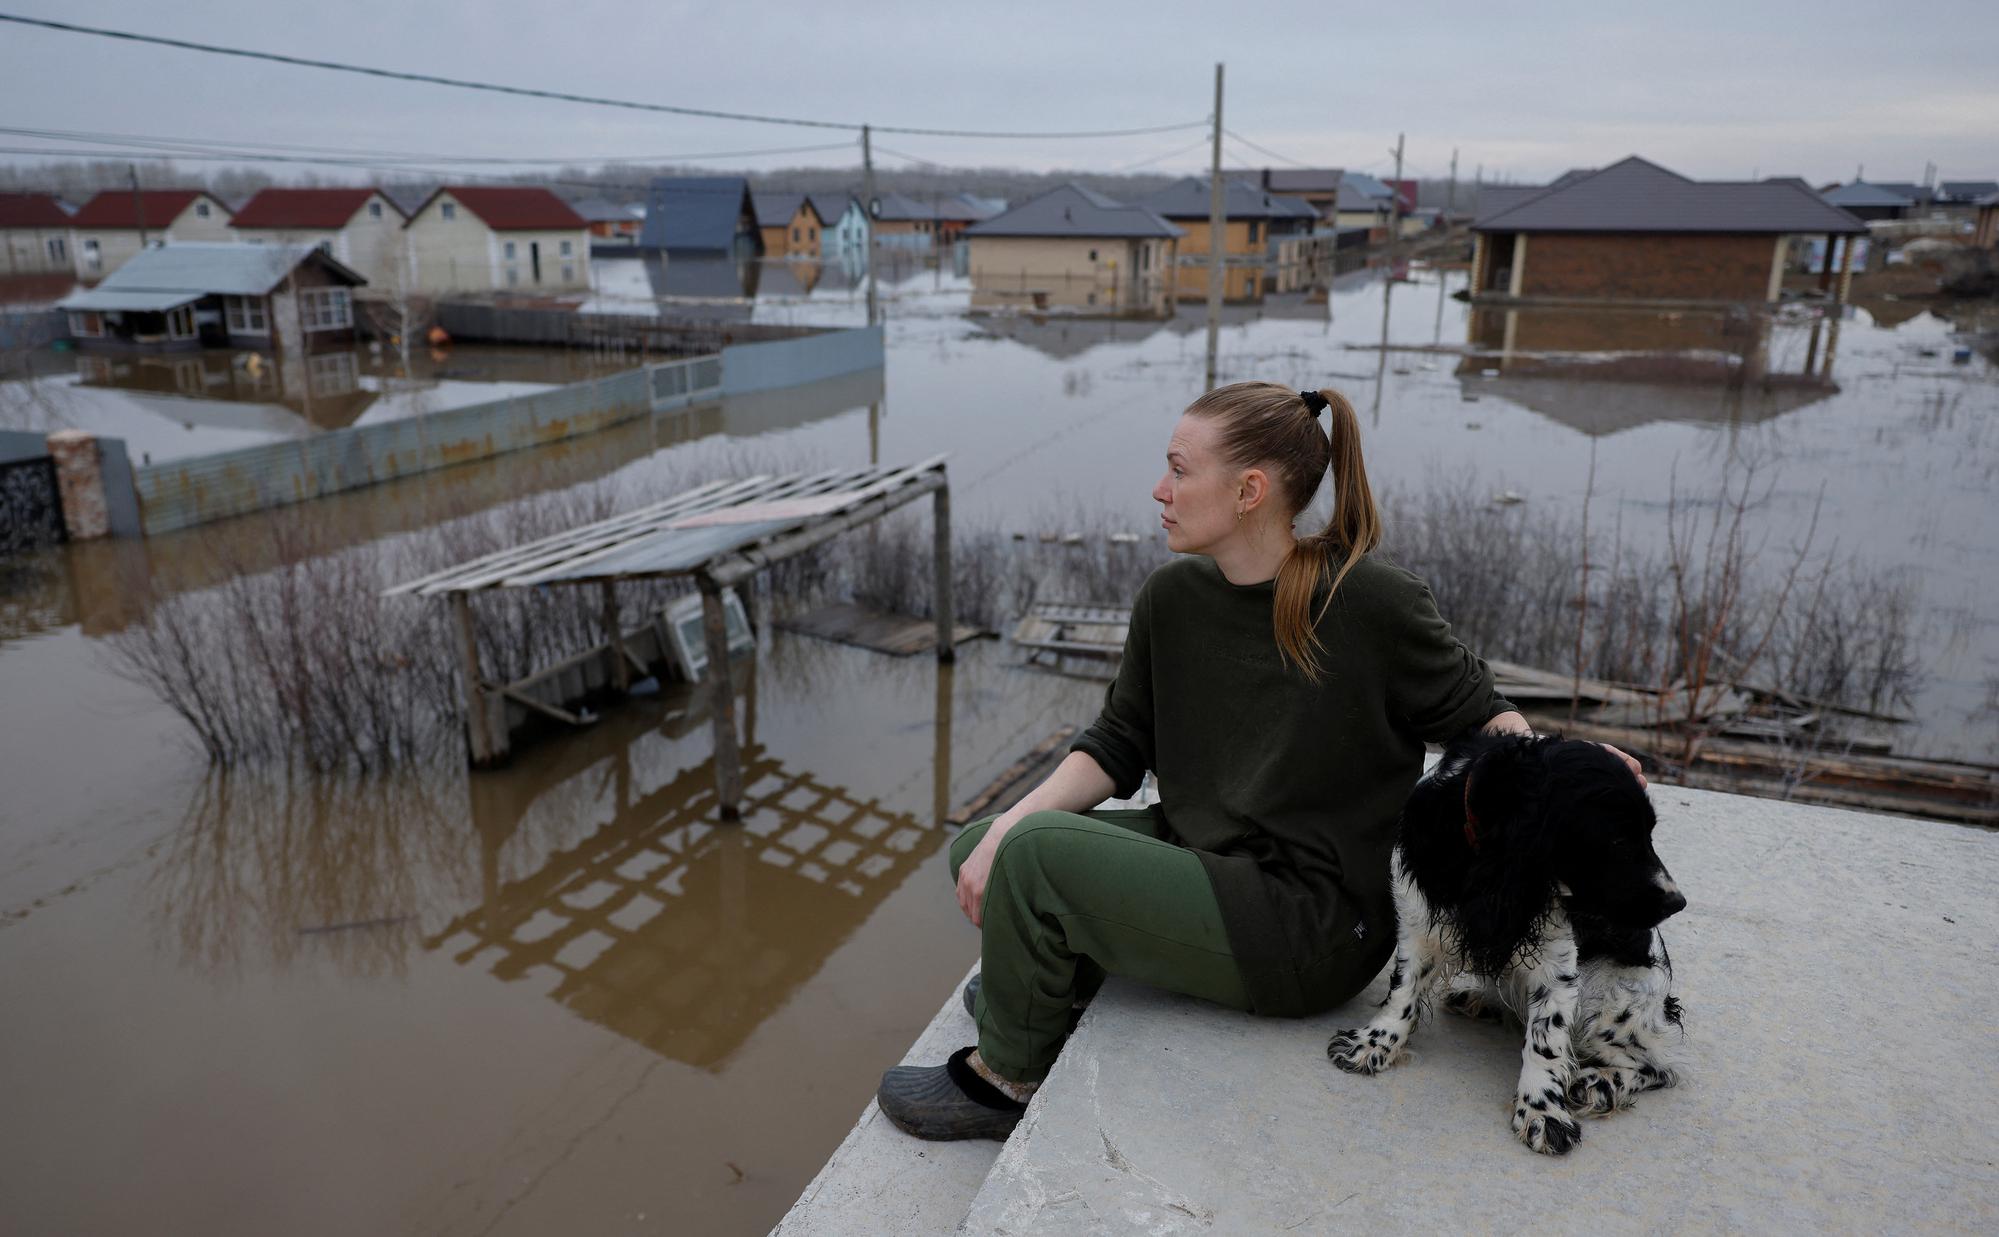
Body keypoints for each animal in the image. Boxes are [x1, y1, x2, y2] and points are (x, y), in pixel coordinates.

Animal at [1327, 731, 1687, 1159]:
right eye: (1617, 840)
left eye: (1648, 834)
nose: (1678, 902)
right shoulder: (1417, 921)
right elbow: (1403, 992)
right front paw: (1374, 1043)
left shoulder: (1556, 961)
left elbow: (1546, 1040)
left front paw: (1542, 1111)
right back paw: (1481, 1001)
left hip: (1618, 995)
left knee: (1657, 1066)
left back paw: (1599, 1083)